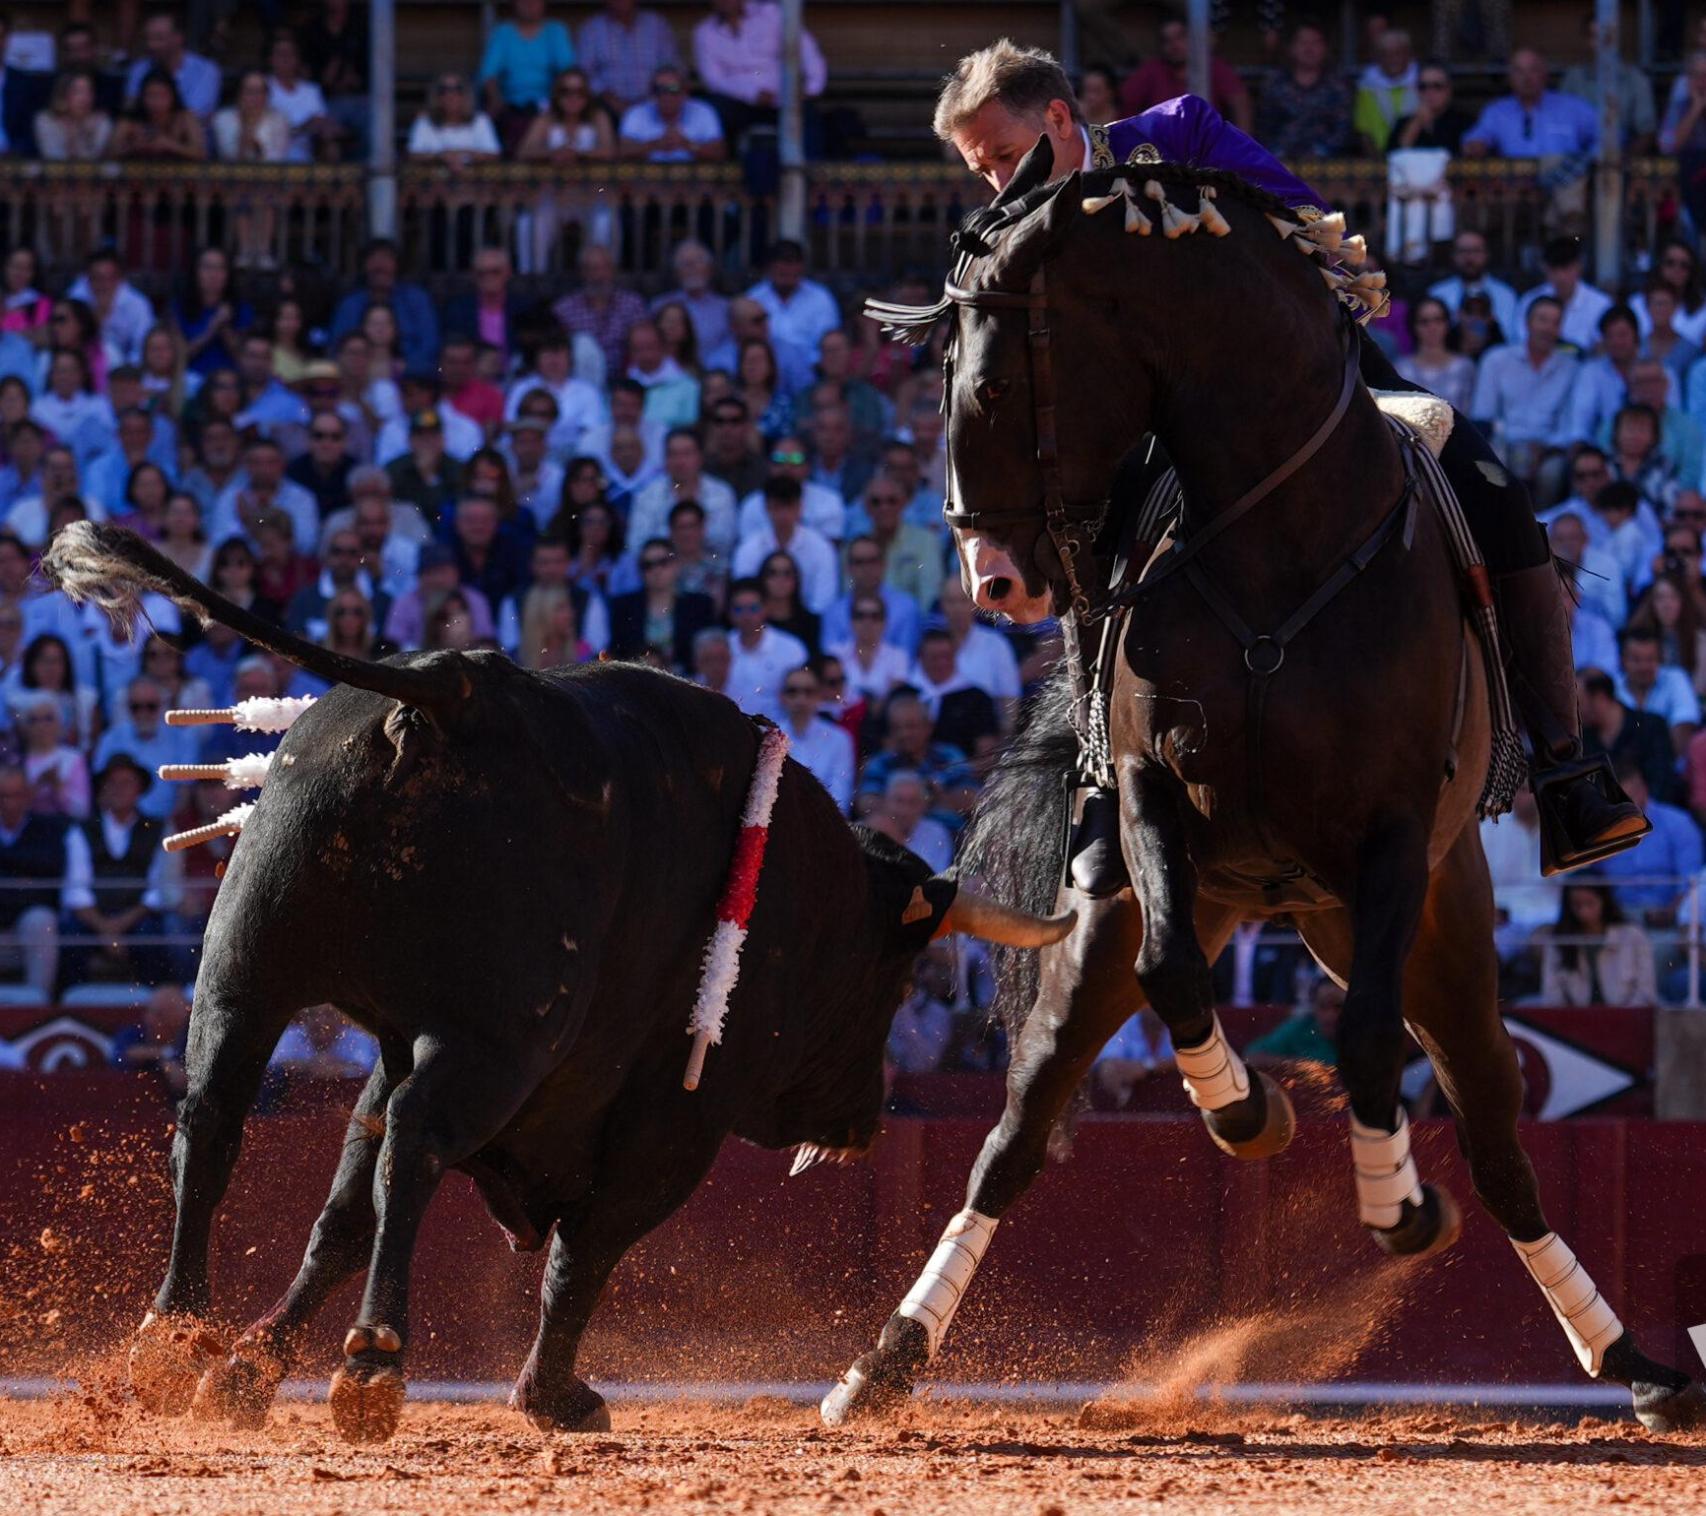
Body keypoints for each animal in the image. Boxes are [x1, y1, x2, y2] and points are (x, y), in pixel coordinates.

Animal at [49, 521, 1064, 1446]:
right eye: (892, 981)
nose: (864, 1119)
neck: (808, 897)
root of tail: (453, 688)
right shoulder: (676, 1122)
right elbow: (587, 1248)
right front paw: (553, 1397)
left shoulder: (396, 1044)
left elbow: (341, 1213)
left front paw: (247, 1374)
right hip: (500, 1042)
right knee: (416, 1143)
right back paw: (373, 1365)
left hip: (246, 971)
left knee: (215, 1122)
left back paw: (171, 1340)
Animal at [818, 141, 1699, 1432]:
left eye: (991, 381)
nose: (995, 577)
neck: (1281, 539)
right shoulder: (1149, 796)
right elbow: (1174, 974)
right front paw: (1249, 1111)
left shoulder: (1391, 840)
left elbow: (1368, 1037)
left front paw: (1395, 1204)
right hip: (1140, 922)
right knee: (1020, 1124)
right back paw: (884, 1357)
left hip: (1441, 928)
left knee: (1495, 1137)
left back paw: (1632, 1363)